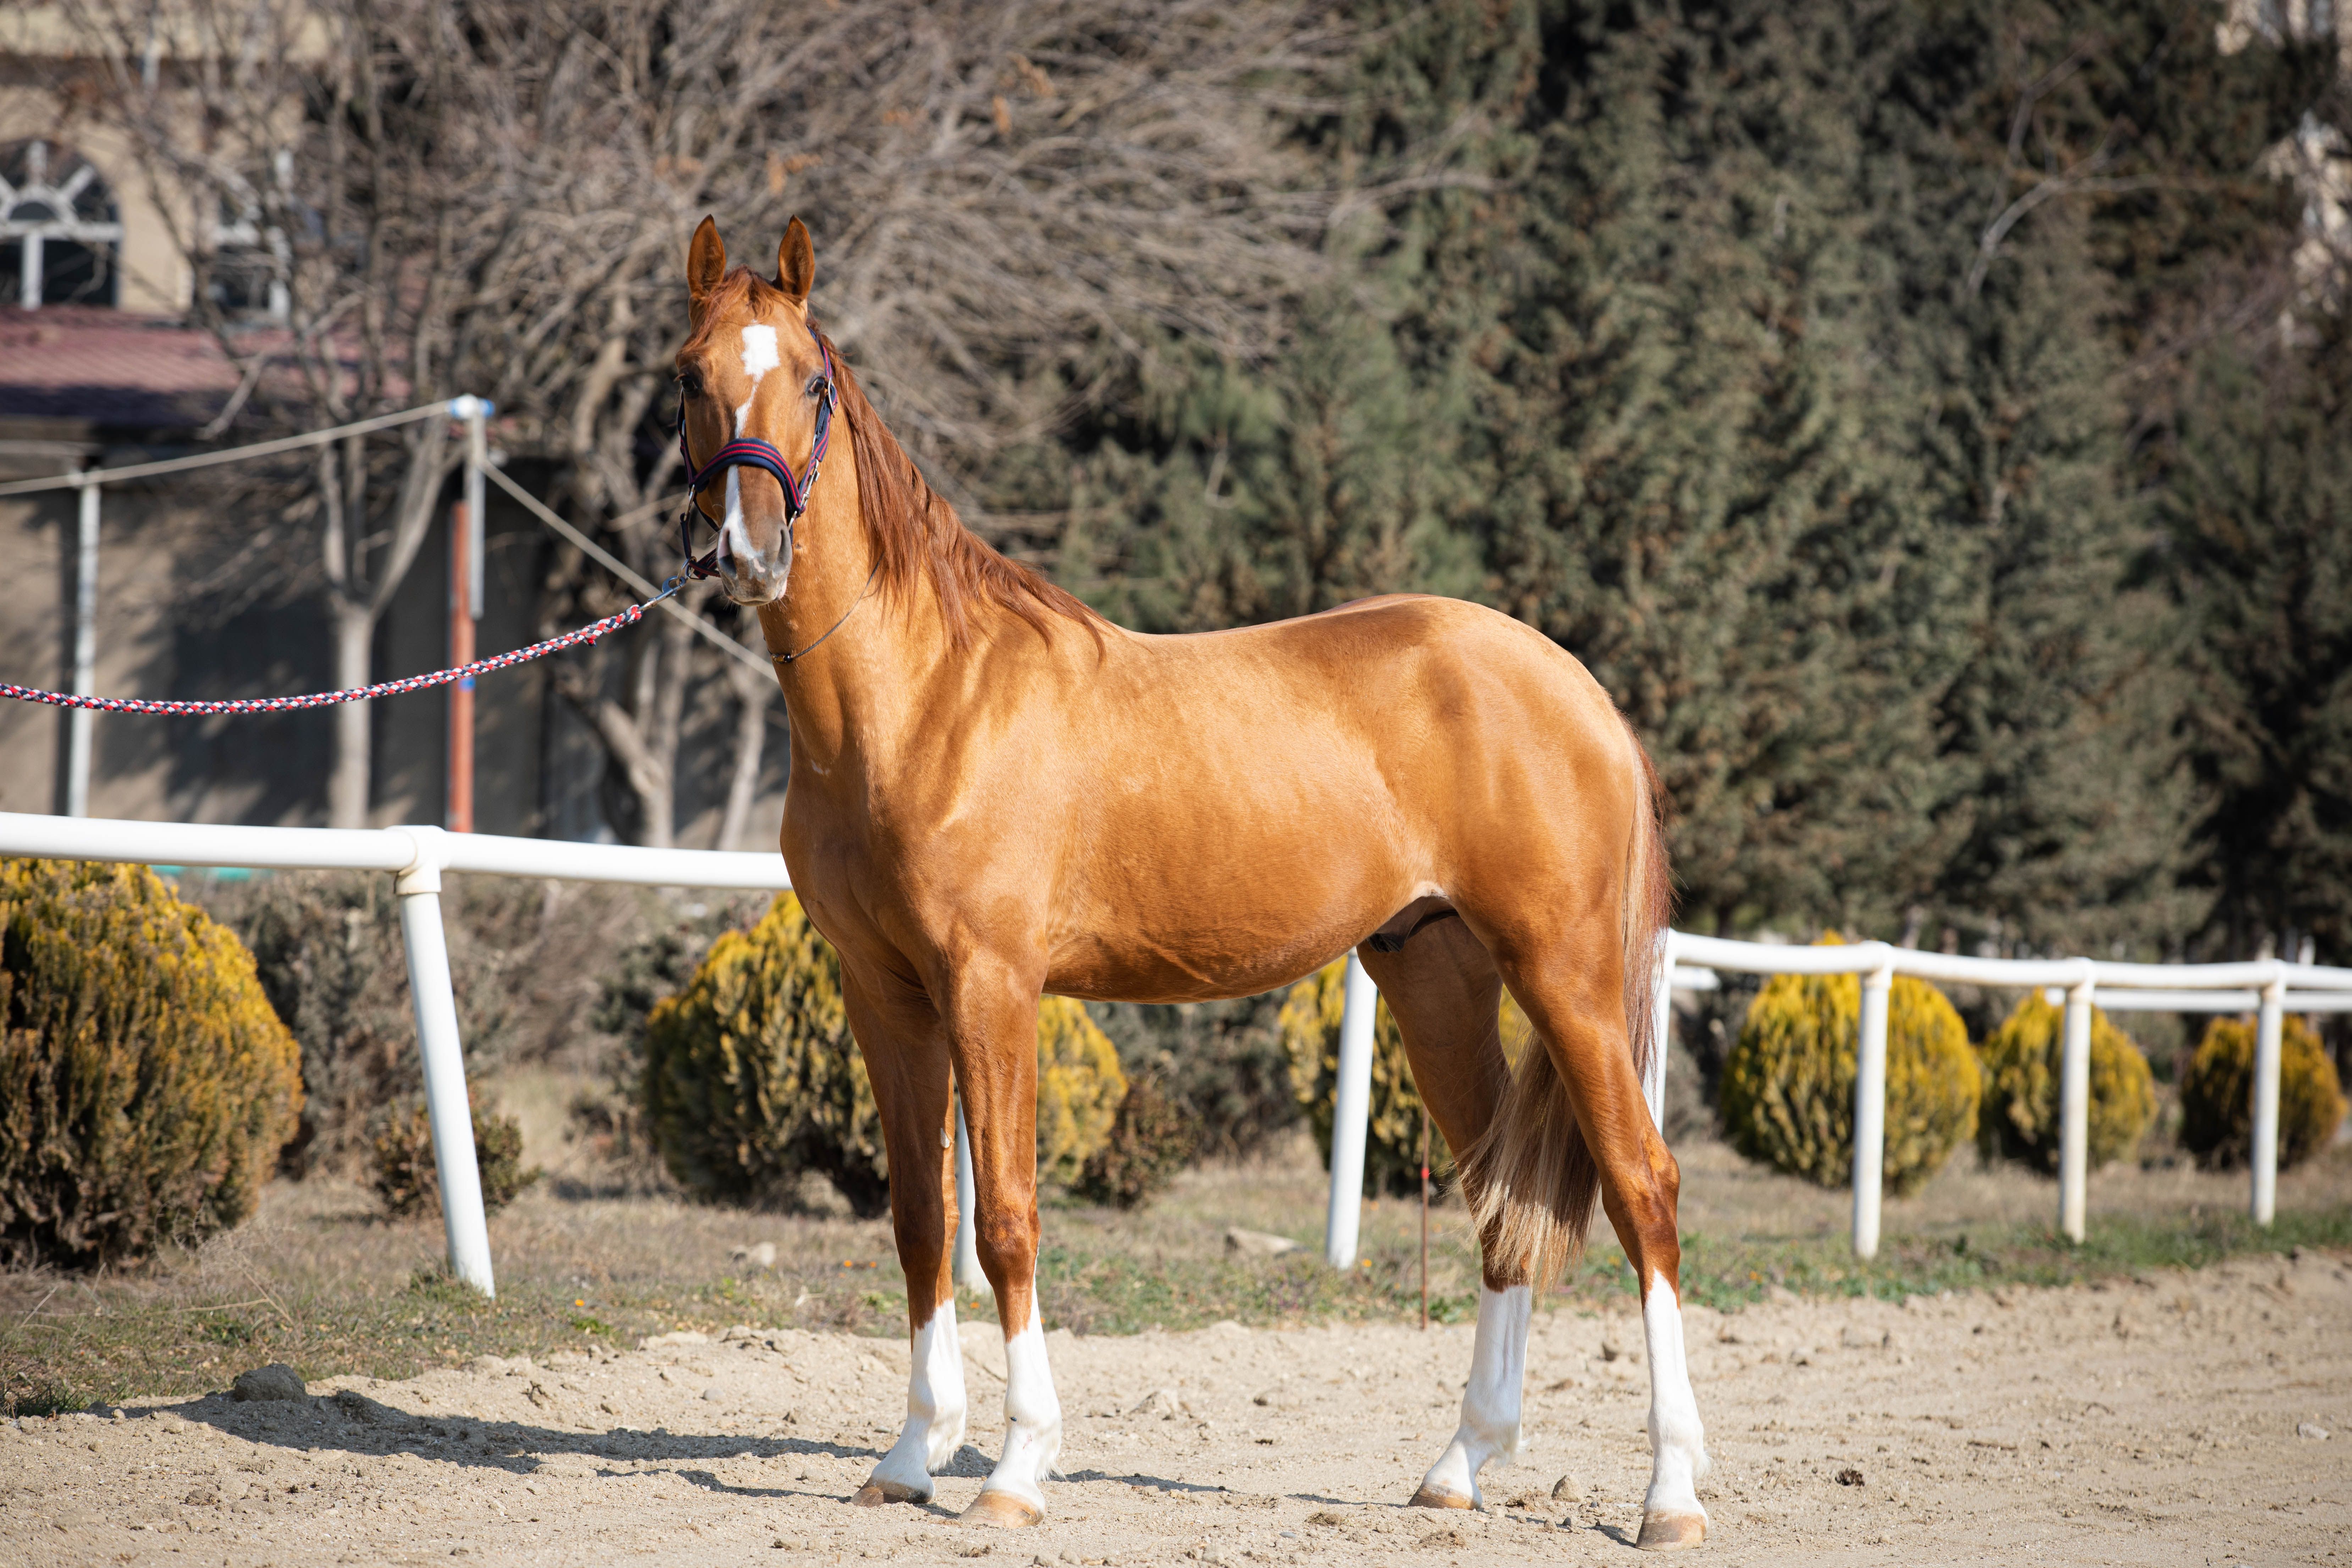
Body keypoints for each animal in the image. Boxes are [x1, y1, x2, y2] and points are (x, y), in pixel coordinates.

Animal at [677, 215, 1712, 1551]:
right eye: (690, 376)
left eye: (812, 383)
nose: (747, 552)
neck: (920, 701)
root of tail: (1577, 687)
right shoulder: (883, 994)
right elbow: (920, 1220)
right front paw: (908, 1458)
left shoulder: (991, 987)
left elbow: (1005, 1217)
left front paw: (1017, 1469)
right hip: (1435, 976)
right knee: (1500, 1198)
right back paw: (1458, 1469)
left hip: (1567, 977)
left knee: (1643, 1188)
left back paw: (1670, 1496)